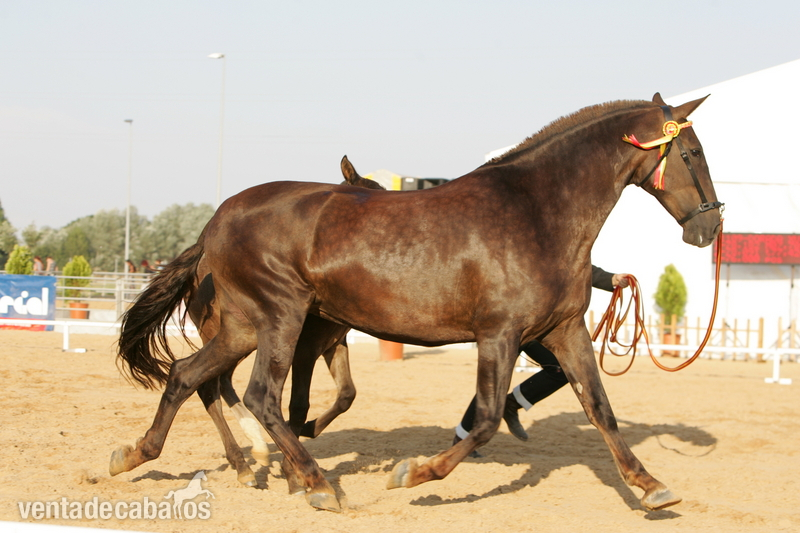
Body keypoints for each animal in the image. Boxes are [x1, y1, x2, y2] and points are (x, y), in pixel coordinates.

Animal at [112, 156, 380, 490]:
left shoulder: (334, 343)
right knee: (210, 385)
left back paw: (248, 459)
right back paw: (249, 456)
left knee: (210, 382)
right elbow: (298, 402)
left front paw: (308, 431)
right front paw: (296, 462)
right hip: (233, 334)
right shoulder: (305, 347)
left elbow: (346, 394)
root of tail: (201, 259)